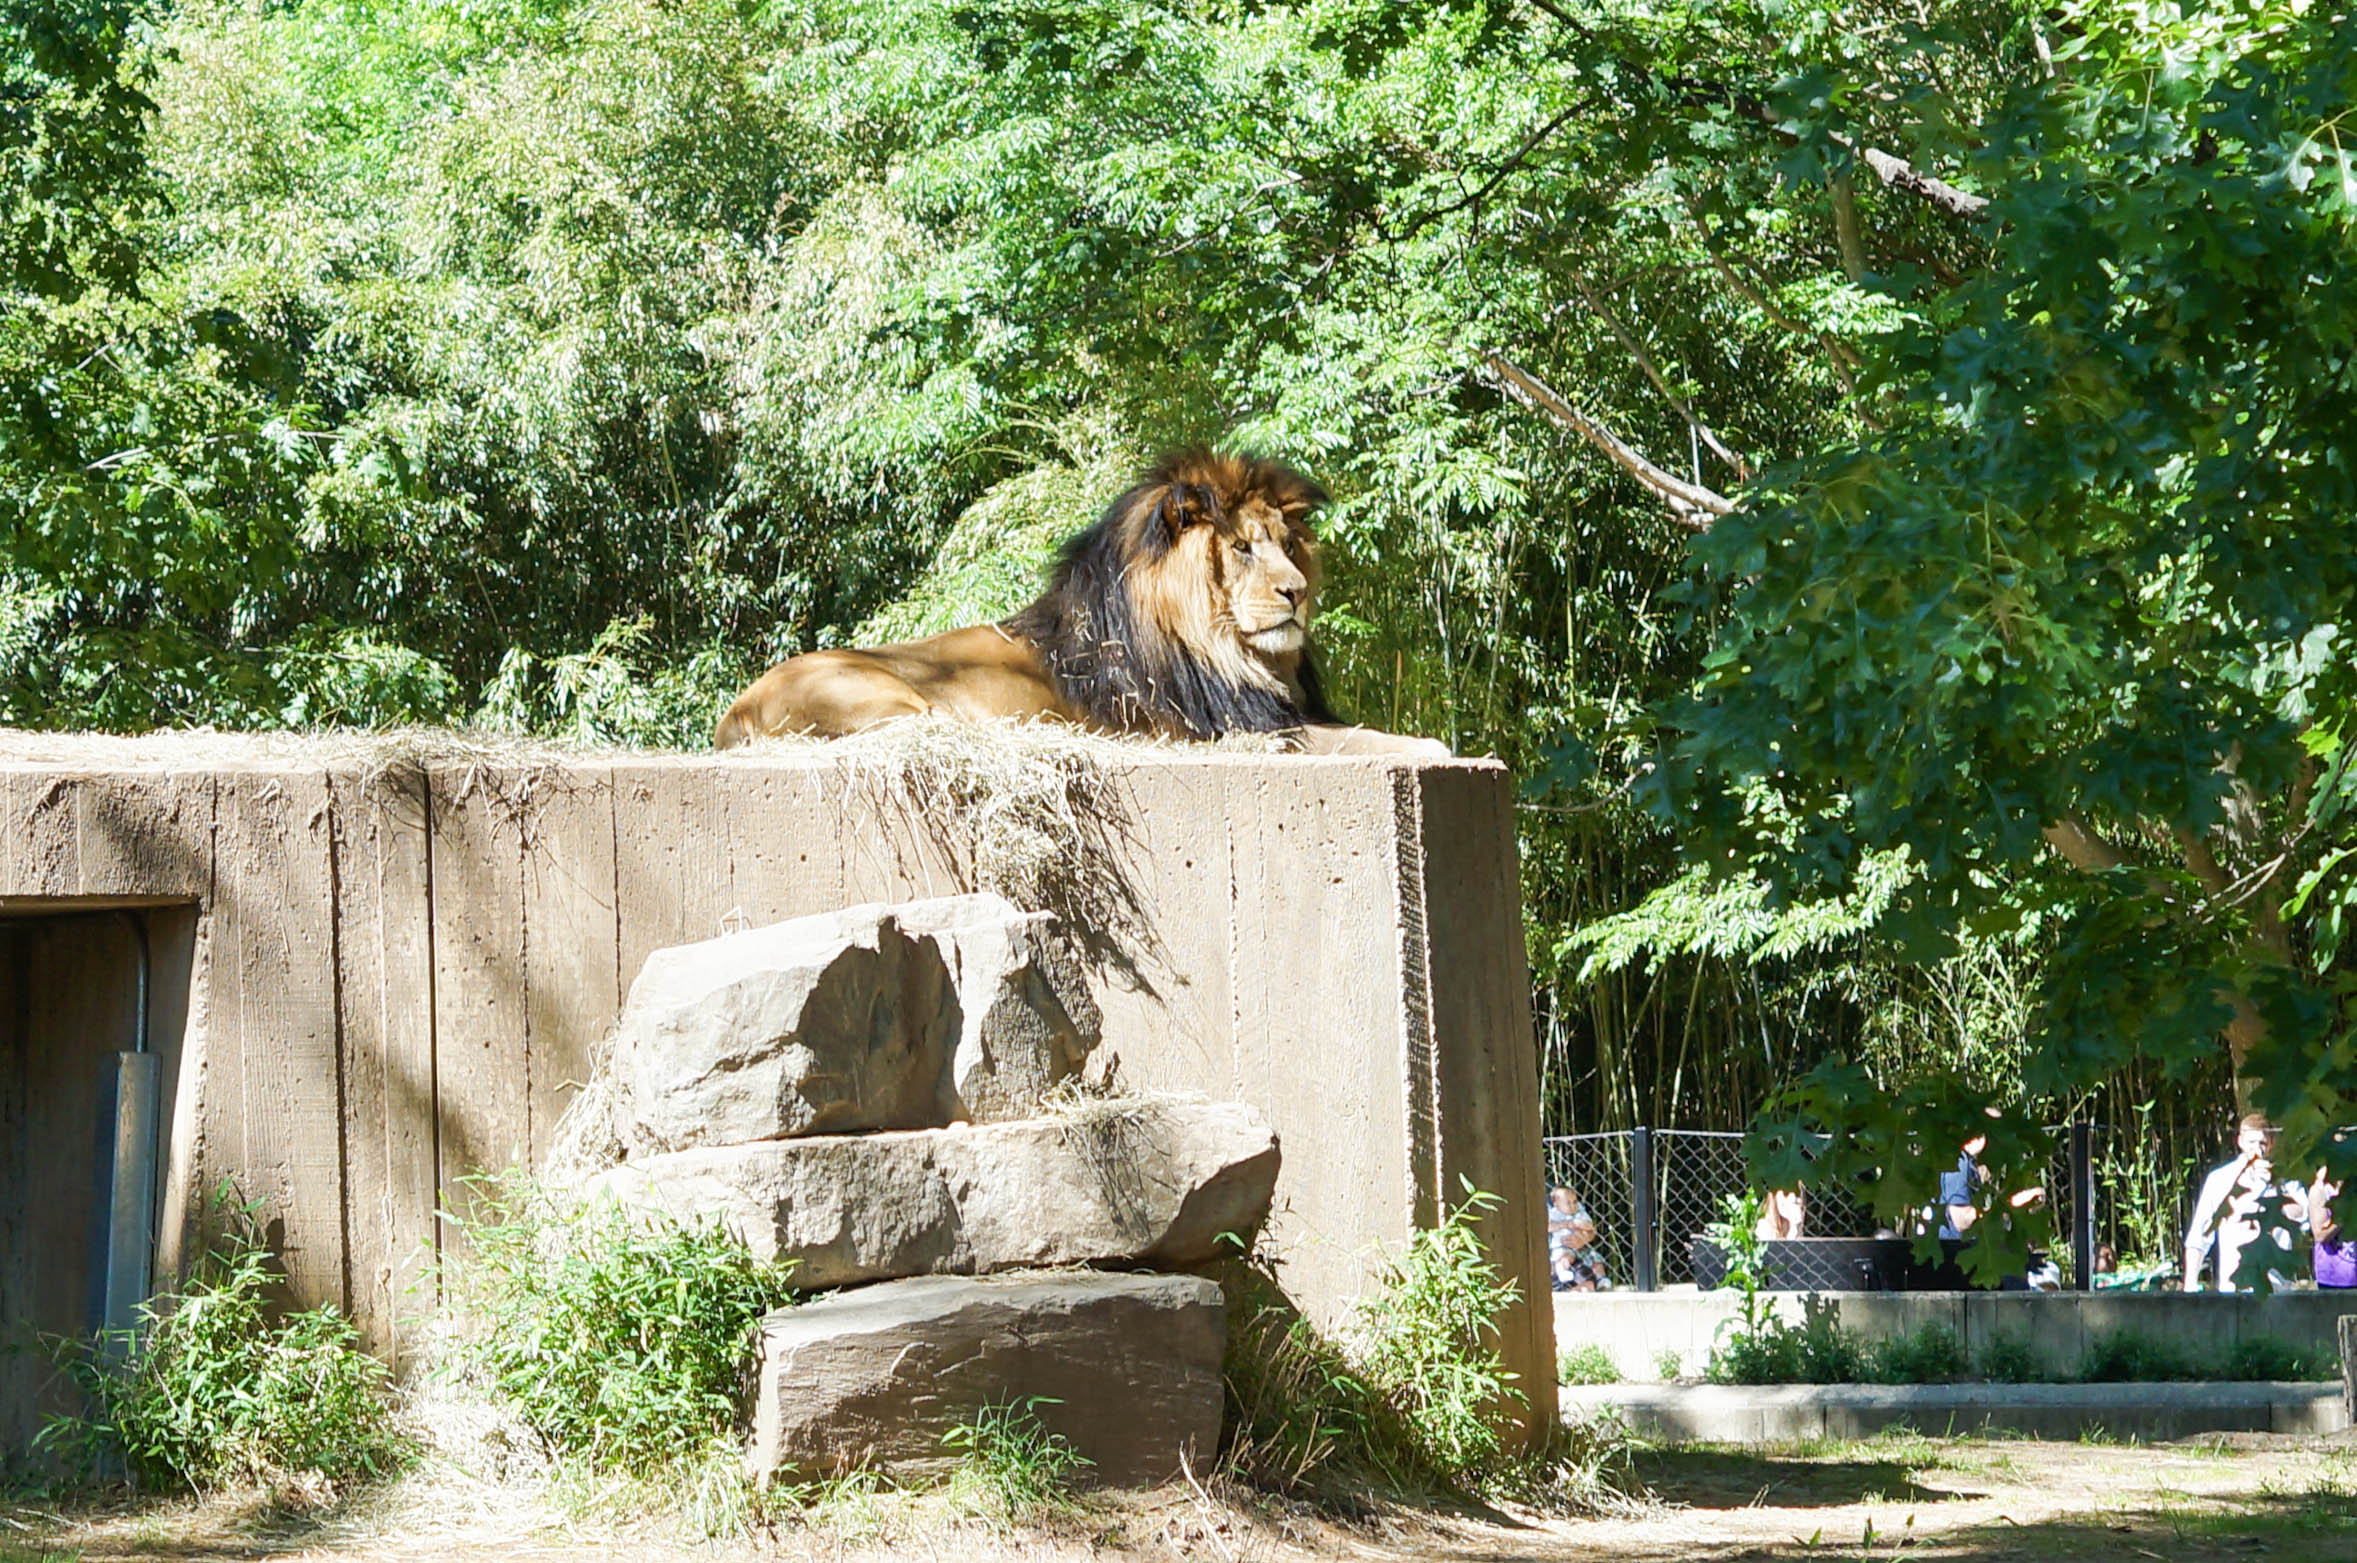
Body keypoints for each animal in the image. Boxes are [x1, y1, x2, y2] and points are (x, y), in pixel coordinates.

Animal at [716, 445, 1442, 759]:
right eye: (1240, 548)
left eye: (1289, 545)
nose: (1295, 591)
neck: (1232, 653)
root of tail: (736, 711)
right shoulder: (1234, 727)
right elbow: (1360, 740)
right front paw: (1429, 745)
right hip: (891, 697)